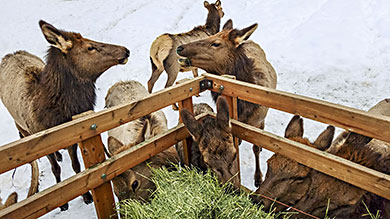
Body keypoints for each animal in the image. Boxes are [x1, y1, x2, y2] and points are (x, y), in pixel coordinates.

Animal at [0, 20, 131, 210]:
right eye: (90, 47)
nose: (125, 50)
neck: (58, 115)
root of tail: (9, 55)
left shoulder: (73, 137)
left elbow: (77, 167)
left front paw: (87, 196)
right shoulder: (39, 140)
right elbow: (55, 169)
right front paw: (63, 204)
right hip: (20, 126)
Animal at [177, 19, 278, 186]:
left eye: (216, 43)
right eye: (209, 36)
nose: (180, 48)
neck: (244, 106)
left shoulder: (257, 121)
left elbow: (256, 148)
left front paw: (258, 178)